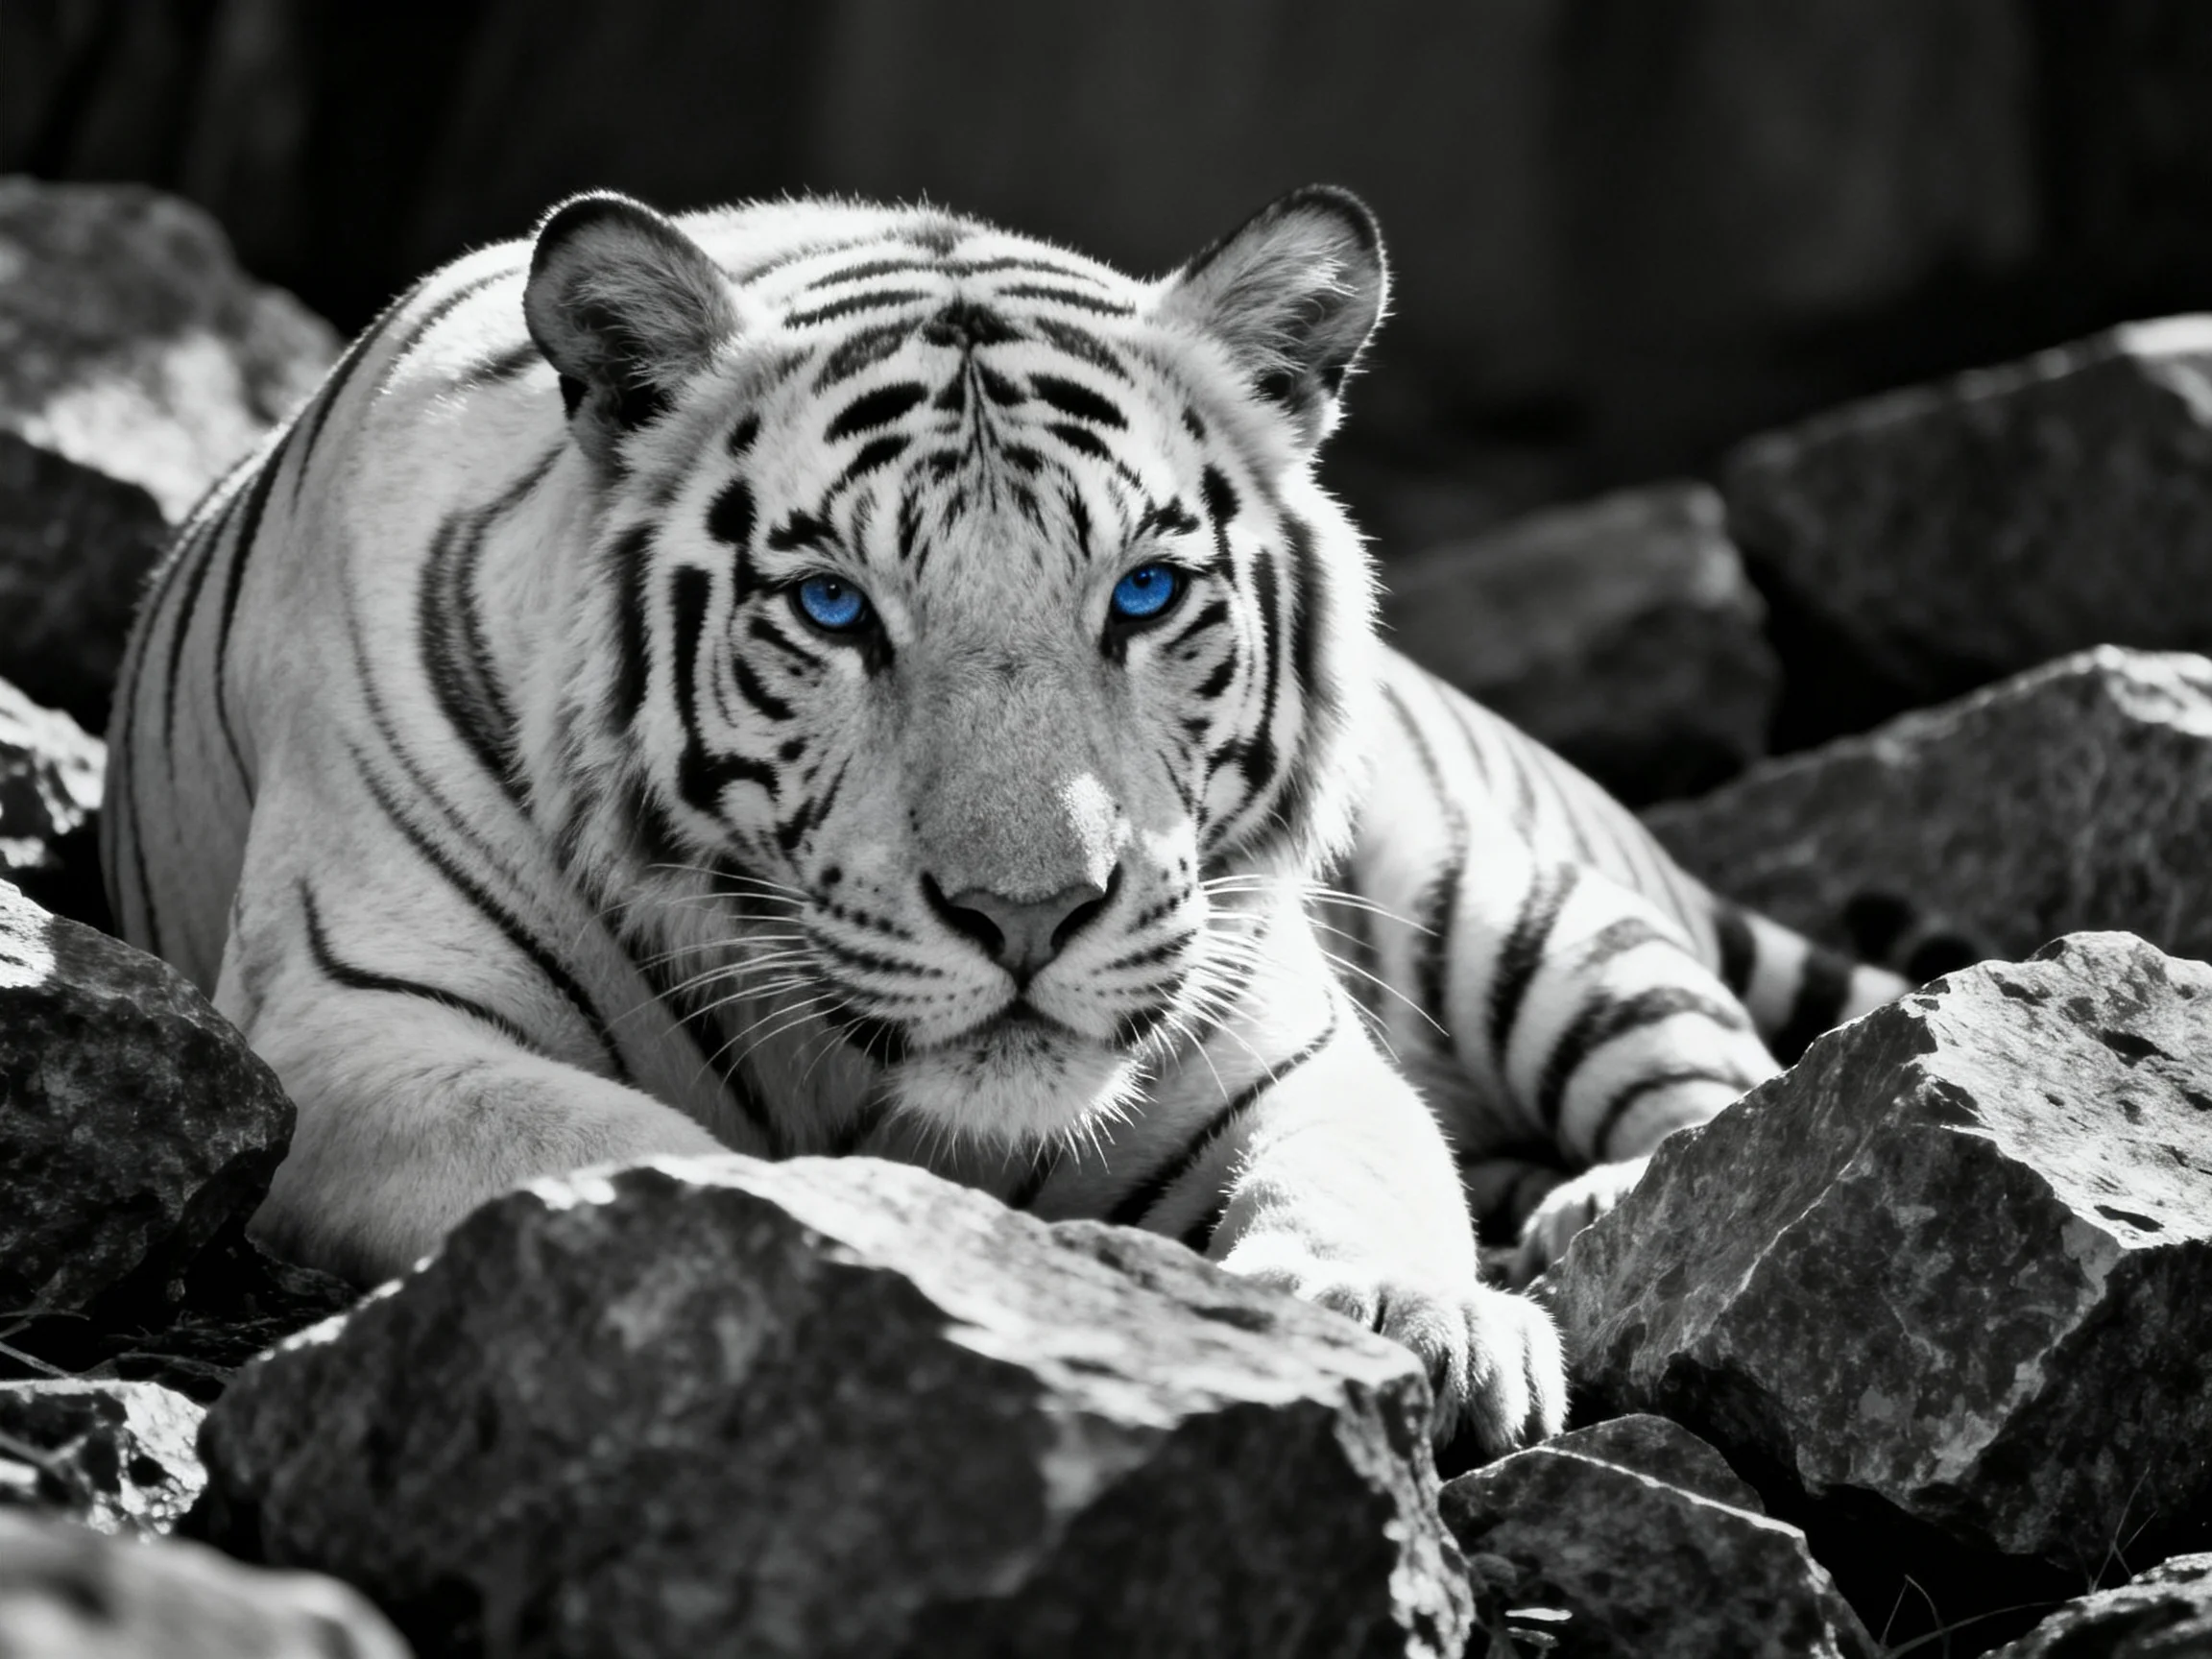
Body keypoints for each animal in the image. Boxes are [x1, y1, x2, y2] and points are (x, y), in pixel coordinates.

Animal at [101, 184, 1903, 1461]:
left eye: (1147, 592)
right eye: (833, 605)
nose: (1029, 912)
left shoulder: (1278, 1038)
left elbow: (1365, 1170)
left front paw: (1414, 1319)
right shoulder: (356, 1035)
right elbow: (627, 1156)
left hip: (1484, 893)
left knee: (1731, 1069)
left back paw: (1611, 1203)